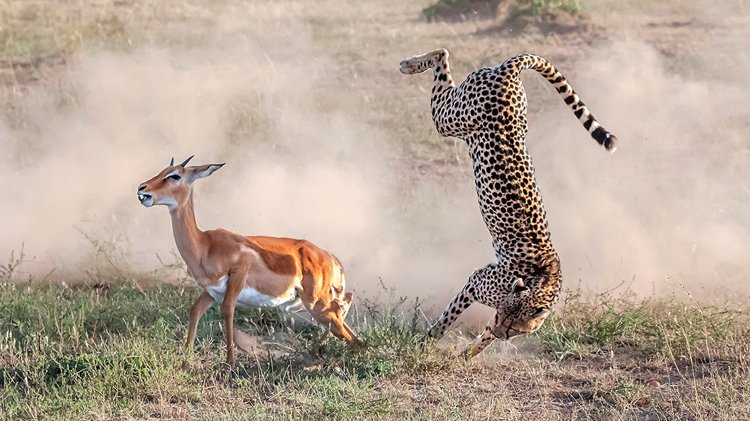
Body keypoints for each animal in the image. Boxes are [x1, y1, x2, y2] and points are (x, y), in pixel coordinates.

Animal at [402, 49, 620, 358]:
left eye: (513, 328)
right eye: (505, 315)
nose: (500, 331)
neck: (542, 281)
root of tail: (509, 70)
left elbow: (481, 340)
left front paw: (467, 354)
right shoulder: (476, 281)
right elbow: (450, 315)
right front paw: (430, 338)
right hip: (448, 119)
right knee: (441, 56)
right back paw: (409, 65)